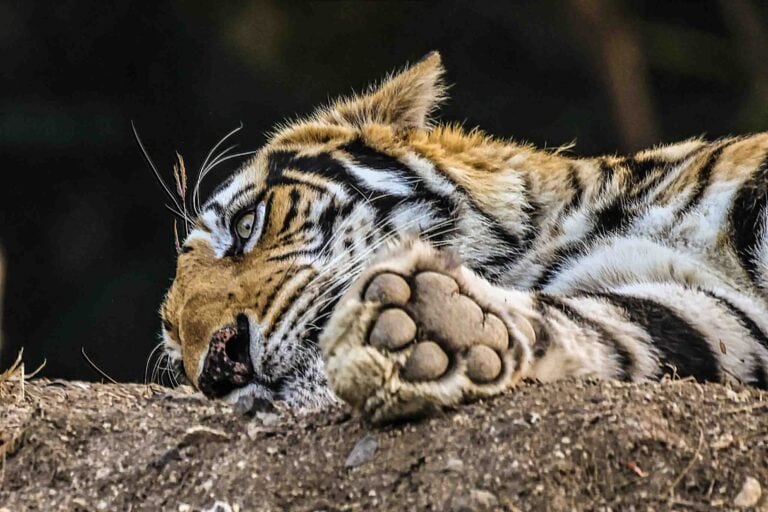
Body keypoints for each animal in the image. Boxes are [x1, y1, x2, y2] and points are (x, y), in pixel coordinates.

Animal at [159, 51, 768, 423]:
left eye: (245, 225)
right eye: (174, 348)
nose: (218, 370)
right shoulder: (718, 318)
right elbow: (628, 323)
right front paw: (433, 332)